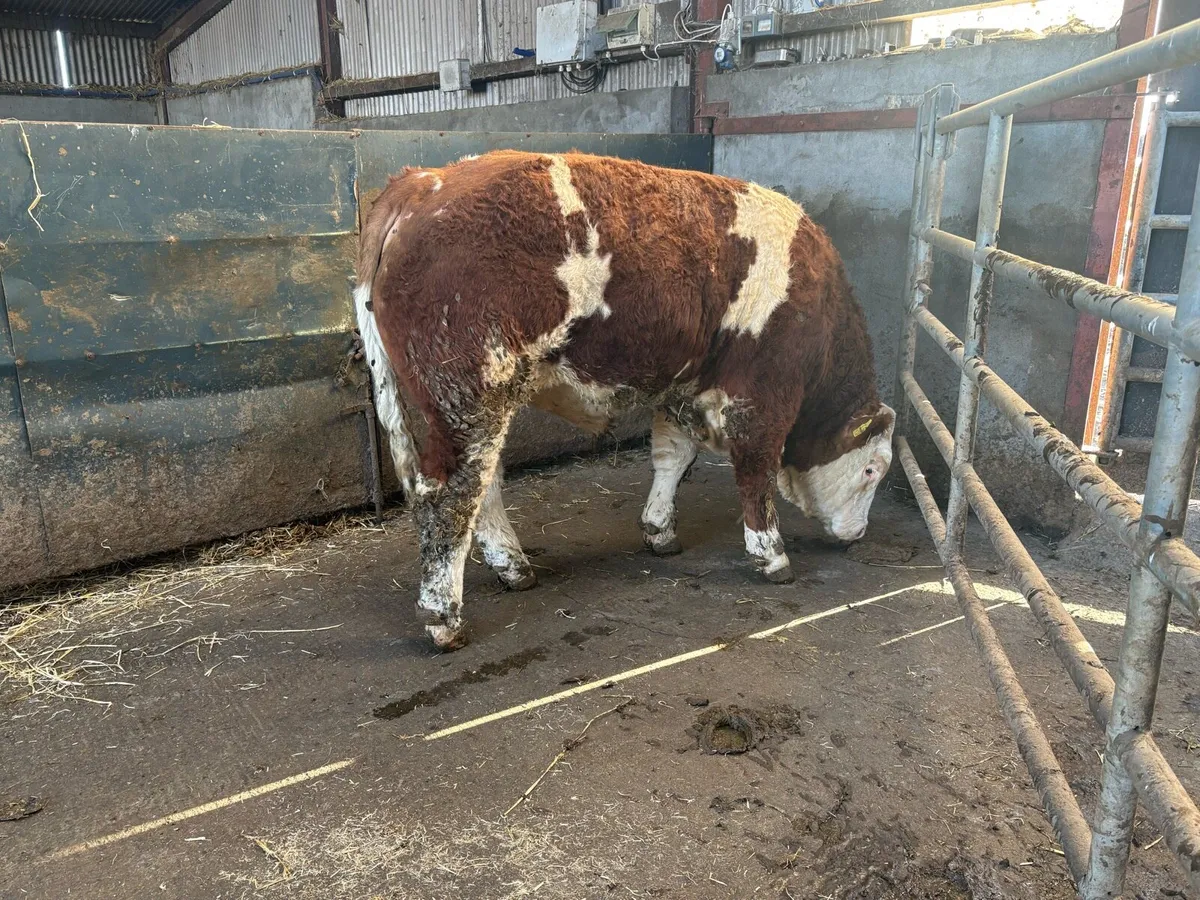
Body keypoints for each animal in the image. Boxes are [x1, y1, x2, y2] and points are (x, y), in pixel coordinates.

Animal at [355, 150, 894, 651]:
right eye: (871, 470)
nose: (858, 533)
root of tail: (422, 181)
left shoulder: (684, 385)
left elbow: (673, 458)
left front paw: (659, 530)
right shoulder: (764, 394)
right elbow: (756, 472)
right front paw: (771, 554)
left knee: (482, 485)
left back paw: (514, 568)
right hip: (468, 394)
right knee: (450, 495)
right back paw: (443, 616)